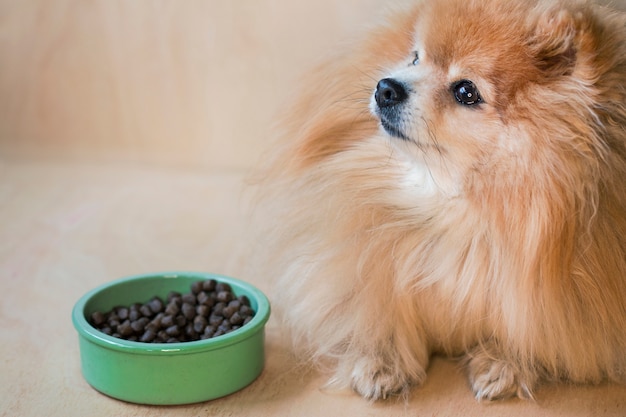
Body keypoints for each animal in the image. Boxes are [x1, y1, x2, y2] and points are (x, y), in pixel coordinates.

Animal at [249, 0, 624, 400]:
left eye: (466, 91)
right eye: (416, 58)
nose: (386, 87)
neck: (456, 206)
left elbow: (538, 326)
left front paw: (506, 360)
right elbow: (375, 299)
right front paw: (382, 356)